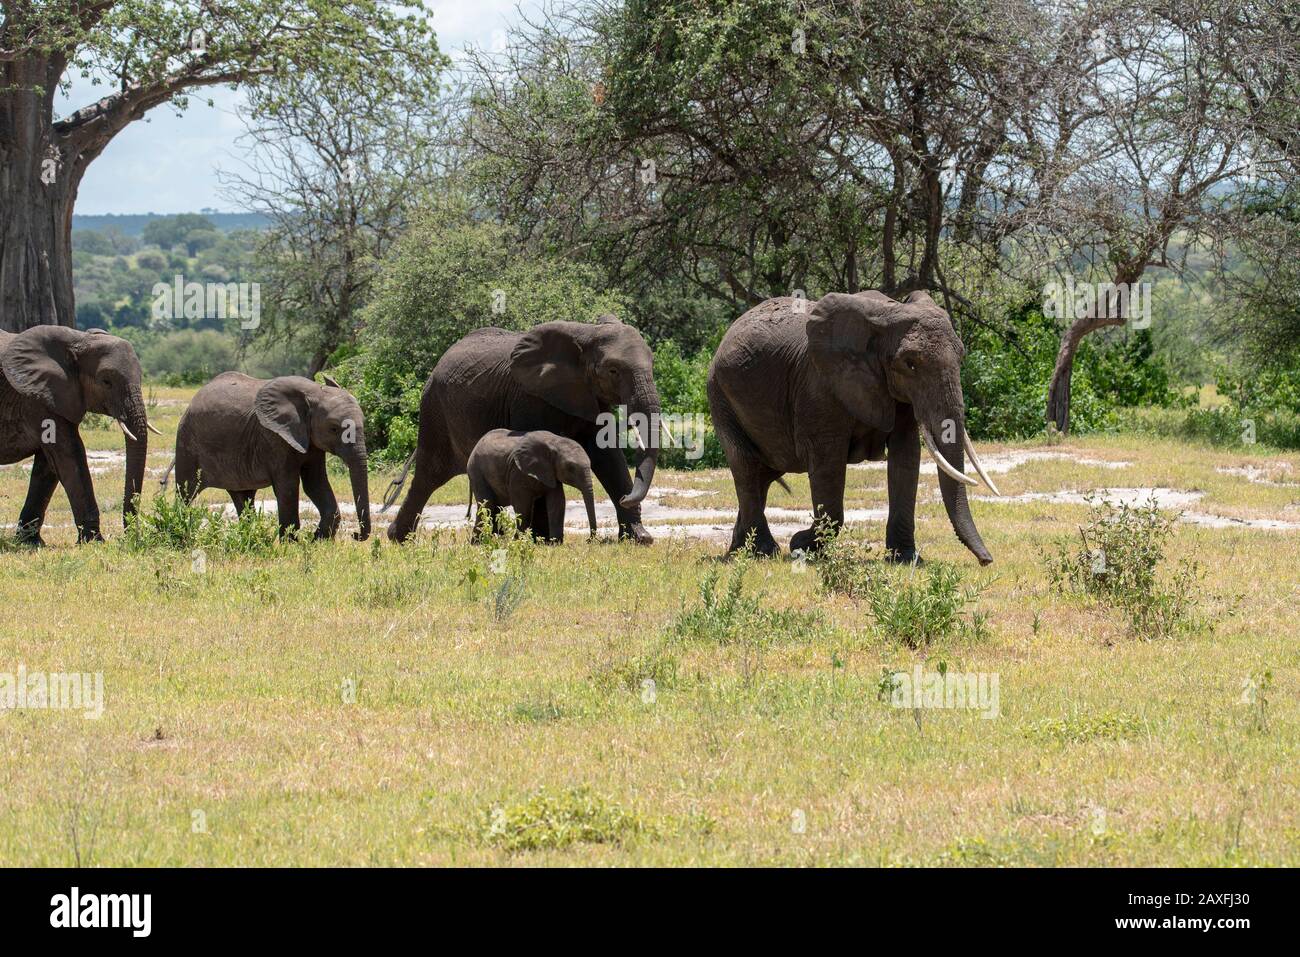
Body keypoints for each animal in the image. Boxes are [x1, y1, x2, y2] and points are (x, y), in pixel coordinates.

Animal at [0, 325, 157, 540]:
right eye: (106, 381)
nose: (127, 538)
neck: (79, 339)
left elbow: (49, 463)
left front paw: (30, 541)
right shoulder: (38, 398)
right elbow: (69, 454)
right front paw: (95, 541)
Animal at [165, 371, 371, 538]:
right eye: (334, 428)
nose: (355, 535)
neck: (314, 393)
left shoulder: (311, 441)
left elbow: (315, 483)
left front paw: (317, 540)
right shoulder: (274, 437)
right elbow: (288, 486)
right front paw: (291, 545)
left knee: (243, 497)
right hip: (186, 442)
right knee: (186, 492)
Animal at [467, 429, 598, 540]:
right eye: (571, 468)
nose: (588, 540)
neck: (554, 442)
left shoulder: (551, 472)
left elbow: (557, 503)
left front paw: (555, 543)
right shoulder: (518, 471)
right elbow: (523, 506)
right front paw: (519, 541)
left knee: (495, 507)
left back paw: (495, 539)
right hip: (476, 471)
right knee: (488, 504)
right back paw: (478, 542)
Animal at [707, 287, 998, 564]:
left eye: (961, 356)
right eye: (910, 363)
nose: (986, 560)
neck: (887, 314)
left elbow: (906, 457)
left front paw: (905, 559)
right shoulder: (819, 386)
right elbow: (828, 462)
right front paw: (802, 546)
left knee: (763, 474)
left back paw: (740, 550)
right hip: (720, 396)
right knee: (746, 466)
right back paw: (764, 552)